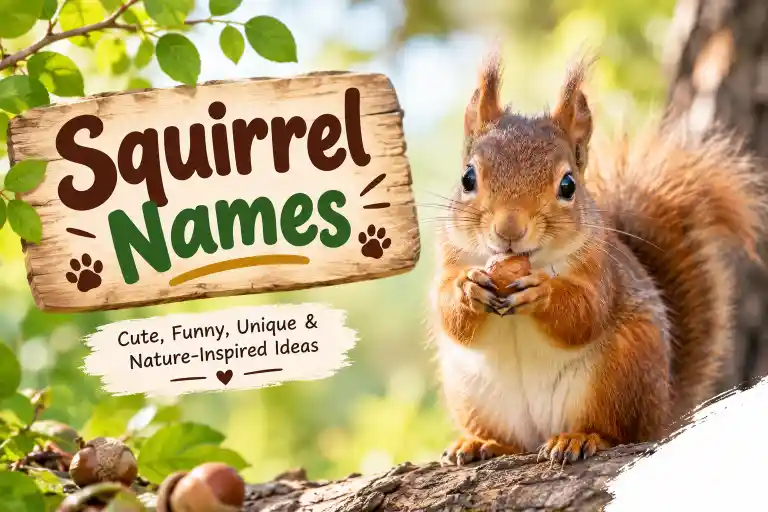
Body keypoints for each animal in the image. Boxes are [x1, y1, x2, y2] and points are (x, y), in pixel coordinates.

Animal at [431, 52, 766, 466]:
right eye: (468, 178)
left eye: (568, 185)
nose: (509, 229)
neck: (531, 260)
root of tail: (662, 412)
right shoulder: (449, 254)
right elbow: (447, 313)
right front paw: (468, 288)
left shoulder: (600, 269)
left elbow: (585, 313)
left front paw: (541, 293)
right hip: (474, 396)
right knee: (512, 442)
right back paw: (482, 443)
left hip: (620, 376)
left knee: (616, 431)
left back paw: (579, 438)